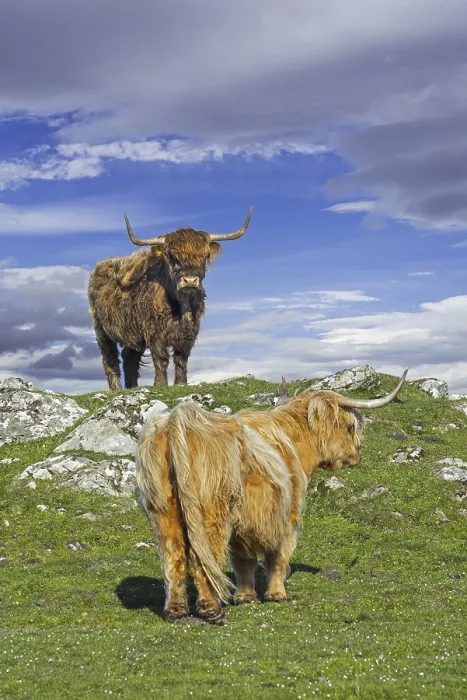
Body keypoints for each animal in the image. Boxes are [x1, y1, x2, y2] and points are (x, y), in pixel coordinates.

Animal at [88, 207, 253, 390]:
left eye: (202, 258)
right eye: (173, 258)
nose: (190, 280)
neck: (183, 306)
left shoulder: (189, 332)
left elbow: (181, 359)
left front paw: (181, 383)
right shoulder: (154, 331)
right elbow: (161, 358)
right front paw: (160, 384)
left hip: (133, 331)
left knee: (129, 357)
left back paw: (132, 387)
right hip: (101, 329)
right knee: (110, 358)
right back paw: (116, 389)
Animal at [136, 368, 408, 625]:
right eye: (351, 426)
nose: (356, 455)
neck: (292, 442)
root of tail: (177, 419)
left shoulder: (243, 522)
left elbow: (243, 560)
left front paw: (246, 597)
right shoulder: (289, 512)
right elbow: (278, 555)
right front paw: (277, 594)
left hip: (163, 509)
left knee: (173, 555)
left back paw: (176, 611)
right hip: (210, 511)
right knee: (201, 555)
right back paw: (211, 610)